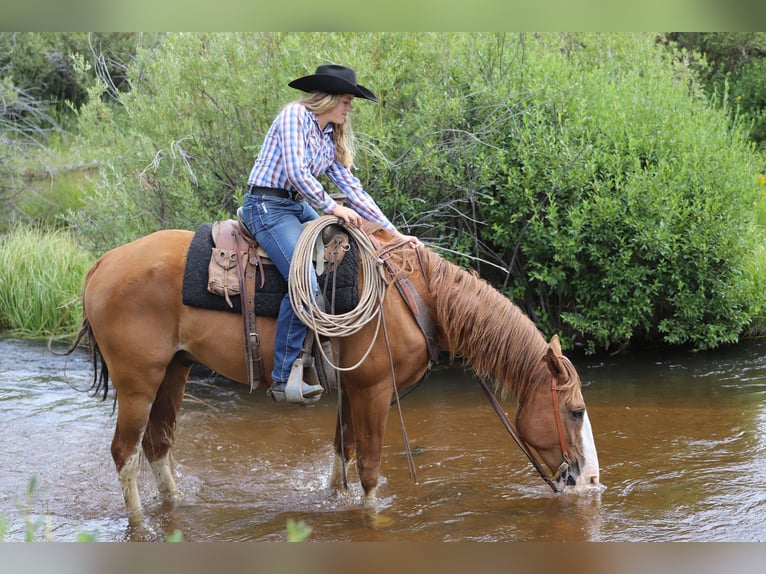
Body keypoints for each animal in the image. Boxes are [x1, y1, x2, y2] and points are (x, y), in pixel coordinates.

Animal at [66, 222, 604, 528]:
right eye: (576, 410)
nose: (591, 481)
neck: (416, 298)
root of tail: (101, 264)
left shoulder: (353, 390)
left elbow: (341, 453)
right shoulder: (373, 391)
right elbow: (368, 468)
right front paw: (372, 518)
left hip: (174, 371)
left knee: (158, 444)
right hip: (138, 381)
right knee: (125, 452)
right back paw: (140, 521)